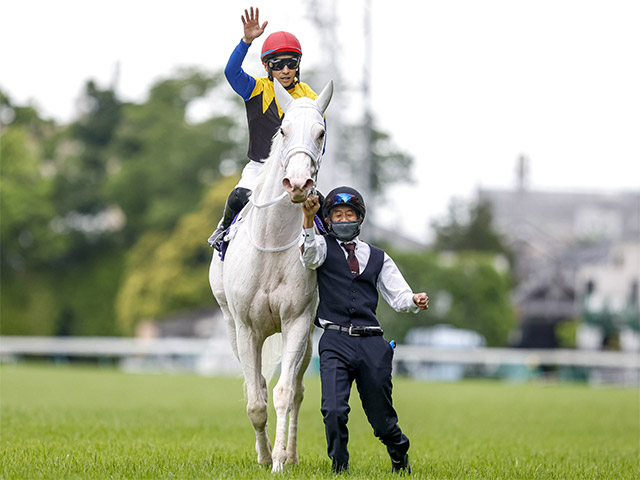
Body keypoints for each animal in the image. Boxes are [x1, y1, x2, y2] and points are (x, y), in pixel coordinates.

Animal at [210, 79, 336, 472]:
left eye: (321, 132)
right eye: (283, 129)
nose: (297, 183)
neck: (273, 244)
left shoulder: (297, 321)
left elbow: (284, 394)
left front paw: (280, 458)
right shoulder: (246, 328)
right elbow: (256, 399)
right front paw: (264, 456)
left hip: (307, 335)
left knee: (296, 391)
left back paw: (290, 454)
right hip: (231, 327)